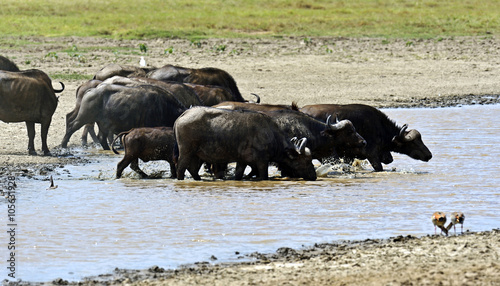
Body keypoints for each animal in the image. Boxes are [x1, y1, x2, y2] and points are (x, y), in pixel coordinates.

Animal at [175, 106, 316, 180]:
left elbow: (238, 175)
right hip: (186, 152)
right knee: (181, 168)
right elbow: (263, 176)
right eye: (306, 161)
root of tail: (184, 113)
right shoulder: (262, 162)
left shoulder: (241, 161)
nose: (314, 176)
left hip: (196, 155)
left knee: (193, 169)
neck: (271, 134)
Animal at [298, 103, 432, 171]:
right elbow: (379, 167)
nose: (429, 155)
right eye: (413, 142)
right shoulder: (371, 154)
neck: (380, 128)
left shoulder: (349, 156)